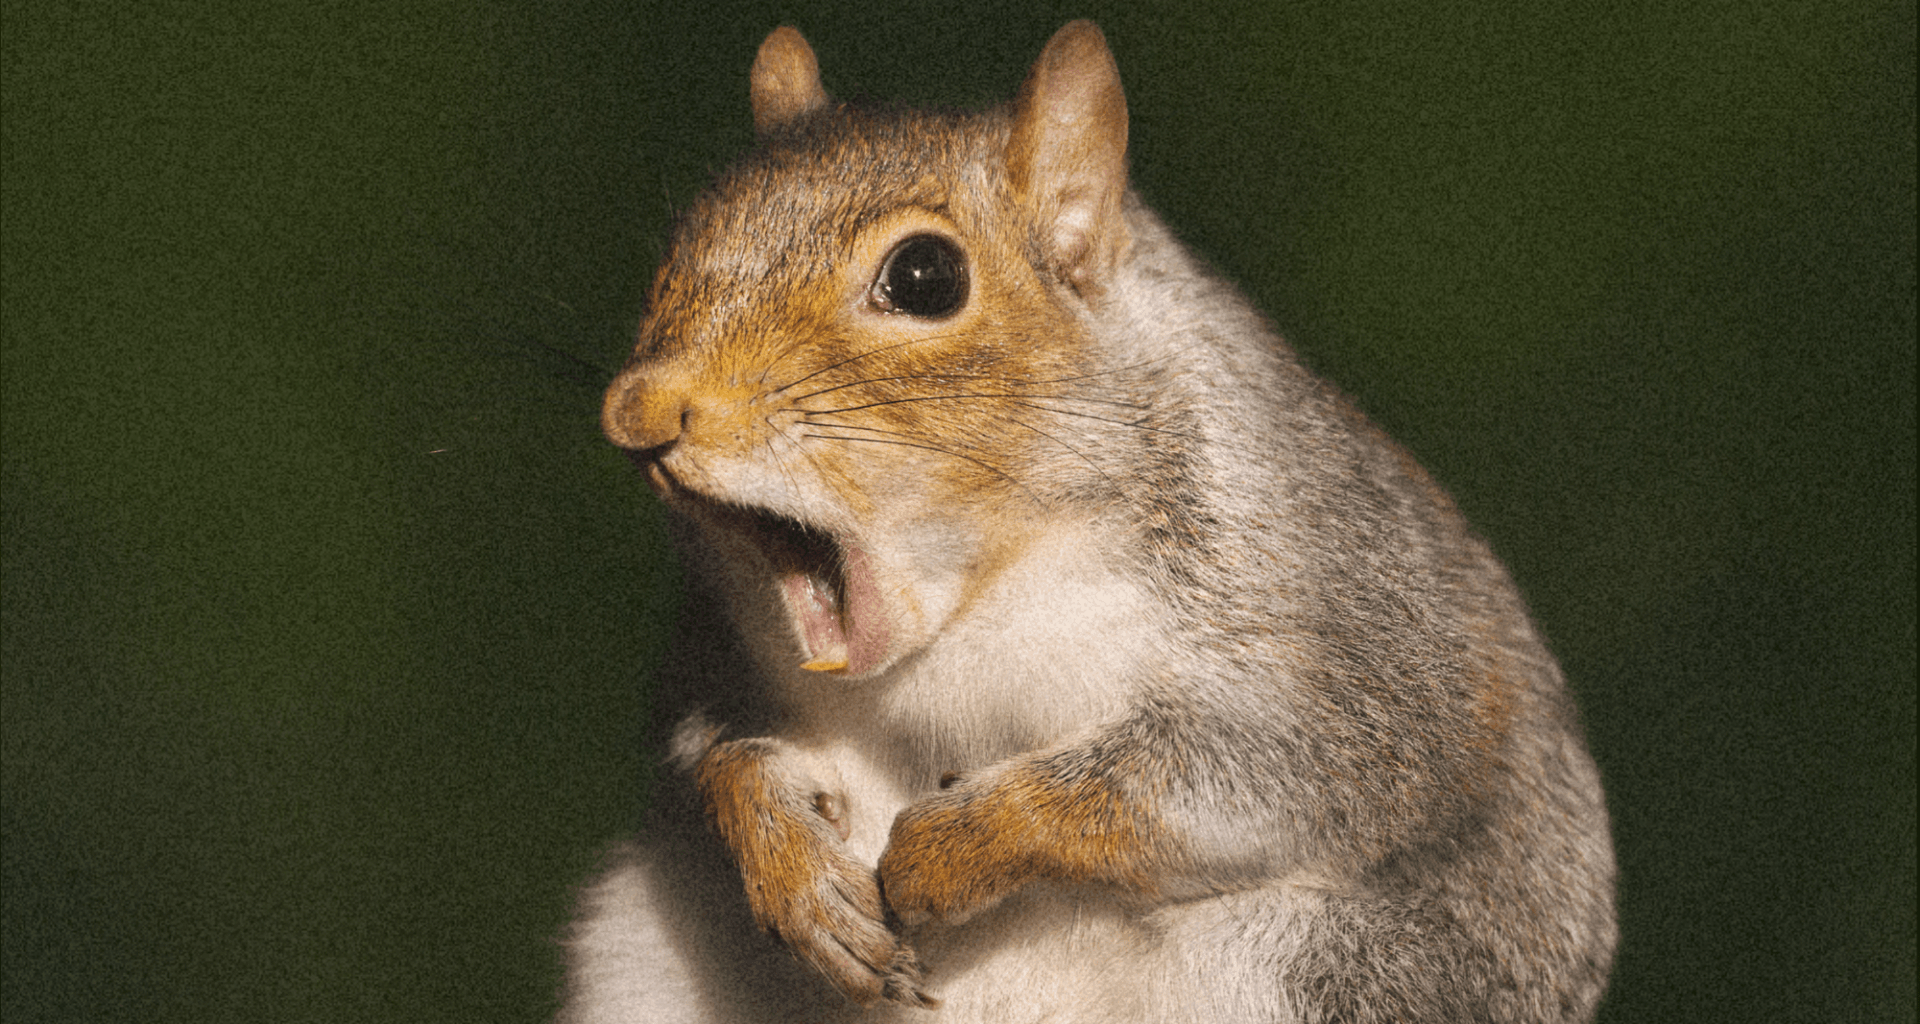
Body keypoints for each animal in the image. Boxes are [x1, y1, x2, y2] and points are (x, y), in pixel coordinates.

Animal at [561, 21, 1616, 1024]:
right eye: (679, 243)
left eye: (926, 276)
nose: (639, 411)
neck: (978, 598)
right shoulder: (713, 650)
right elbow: (713, 749)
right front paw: (792, 866)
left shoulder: (1341, 648)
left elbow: (1231, 779)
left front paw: (950, 848)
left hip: (1307, 972)